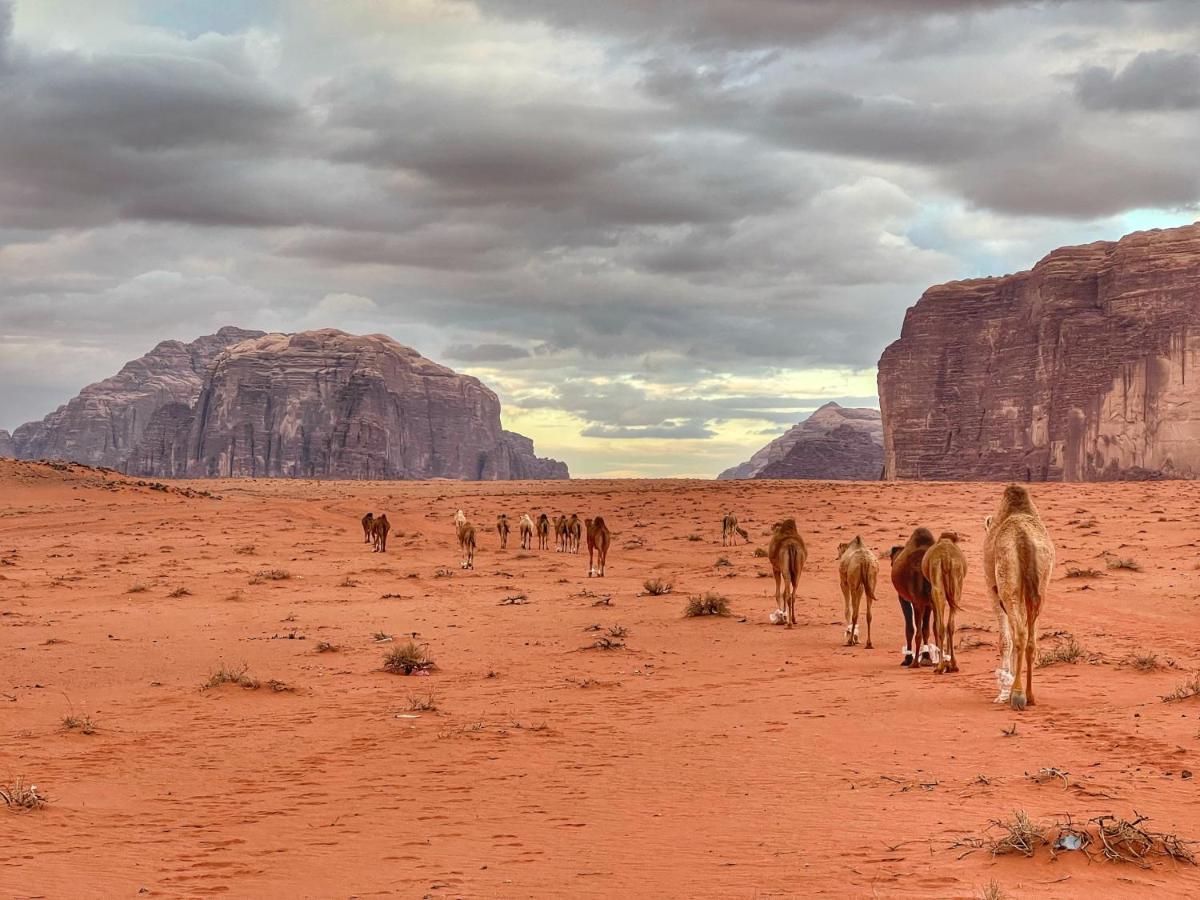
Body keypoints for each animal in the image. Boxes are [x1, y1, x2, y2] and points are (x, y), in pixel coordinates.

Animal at [892, 528, 936, 672]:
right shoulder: (928, 603)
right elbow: (926, 629)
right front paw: (927, 658)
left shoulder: (903, 598)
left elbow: (910, 629)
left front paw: (907, 659)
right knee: (935, 628)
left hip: (917, 600)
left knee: (917, 631)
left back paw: (914, 663)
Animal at [921, 532, 969, 672]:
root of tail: (946, 559)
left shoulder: (932, 593)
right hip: (957, 585)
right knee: (950, 625)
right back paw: (952, 665)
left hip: (937, 585)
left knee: (940, 625)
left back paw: (940, 666)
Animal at [988, 487, 1056, 710]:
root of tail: (1023, 538)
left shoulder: (993, 590)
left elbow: (1005, 639)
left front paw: (1003, 691)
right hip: (1041, 581)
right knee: (1031, 639)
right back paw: (1030, 695)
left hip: (1007, 580)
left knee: (1019, 634)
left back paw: (1017, 695)